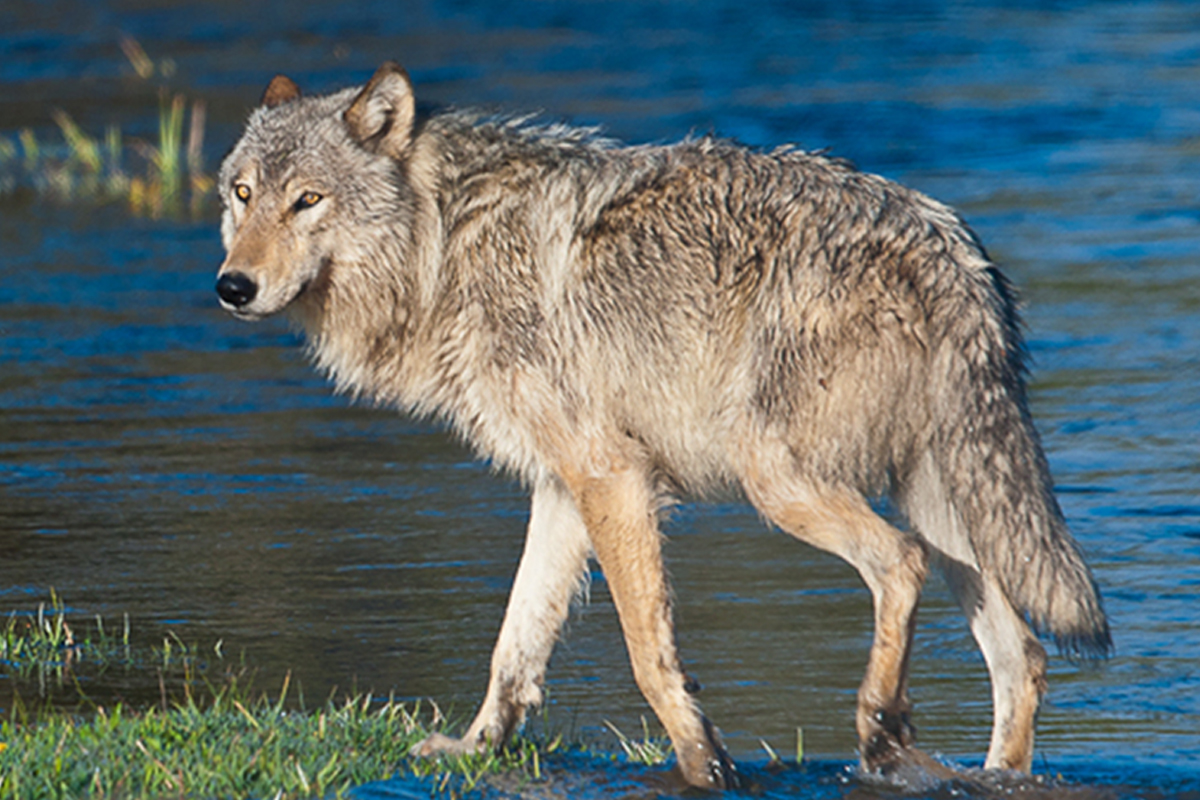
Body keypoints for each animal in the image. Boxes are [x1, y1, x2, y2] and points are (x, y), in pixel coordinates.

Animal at [214, 62, 1110, 789]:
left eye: (308, 200)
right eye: (242, 195)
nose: (232, 286)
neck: (444, 245)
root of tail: (954, 249)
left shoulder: (613, 477)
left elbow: (648, 653)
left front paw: (702, 764)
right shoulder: (562, 488)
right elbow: (514, 646)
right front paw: (476, 750)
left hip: (782, 483)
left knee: (901, 566)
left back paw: (881, 731)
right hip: (942, 510)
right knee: (1023, 657)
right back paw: (984, 771)